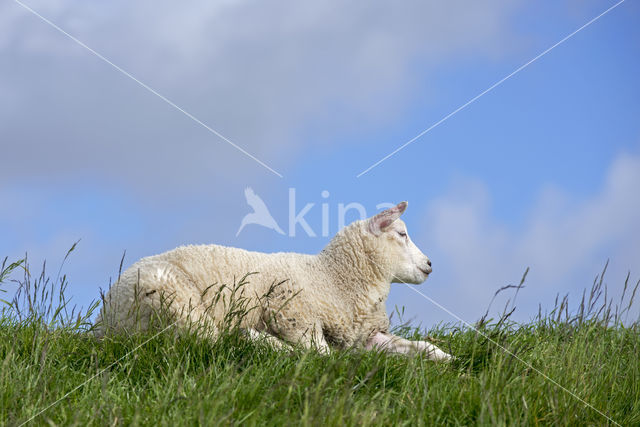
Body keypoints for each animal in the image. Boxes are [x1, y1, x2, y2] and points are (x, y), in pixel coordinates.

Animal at [95, 201, 452, 362]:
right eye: (402, 234)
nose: (430, 265)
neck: (332, 277)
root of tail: (106, 320)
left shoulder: (366, 334)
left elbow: (417, 346)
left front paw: (445, 358)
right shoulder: (293, 316)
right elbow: (324, 355)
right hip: (175, 301)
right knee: (213, 341)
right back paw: (256, 338)